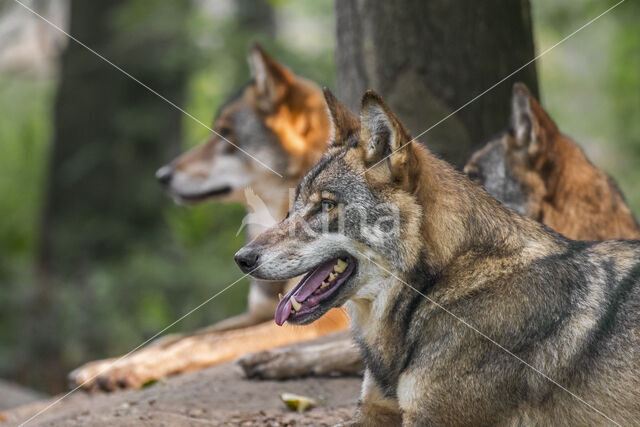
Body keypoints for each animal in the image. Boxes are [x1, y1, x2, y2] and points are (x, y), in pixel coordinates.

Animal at [69, 46, 350, 392]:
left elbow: (198, 343)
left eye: (226, 133)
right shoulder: (260, 311)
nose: (162, 176)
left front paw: (130, 370)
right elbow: (171, 338)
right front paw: (105, 366)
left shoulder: (324, 316)